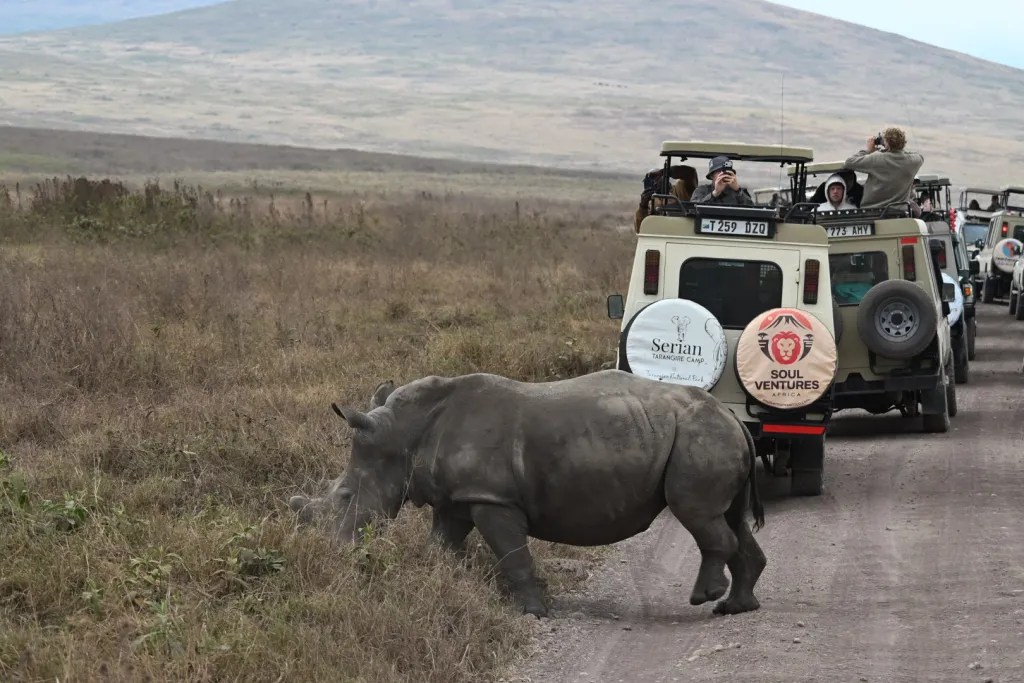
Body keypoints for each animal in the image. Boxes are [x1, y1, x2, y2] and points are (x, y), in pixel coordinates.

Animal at [288, 369, 766, 617]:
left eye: (345, 495)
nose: (338, 551)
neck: (403, 435)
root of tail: (734, 417)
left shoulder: (491, 498)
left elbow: (513, 556)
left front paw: (532, 612)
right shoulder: (458, 497)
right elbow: (440, 546)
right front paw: (440, 581)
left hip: (700, 436)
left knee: (697, 514)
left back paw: (704, 597)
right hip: (706, 434)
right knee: (729, 518)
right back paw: (736, 607)